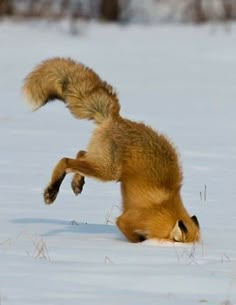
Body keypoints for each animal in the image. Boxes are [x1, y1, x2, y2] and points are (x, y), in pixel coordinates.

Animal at [23, 57, 200, 242]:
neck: (165, 208)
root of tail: (117, 118)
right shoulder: (125, 220)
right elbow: (136, 237)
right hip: (109, 171)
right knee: (65, 160)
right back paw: (52, 192)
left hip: (102, 162)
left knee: (80, 153)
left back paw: (77, 183)